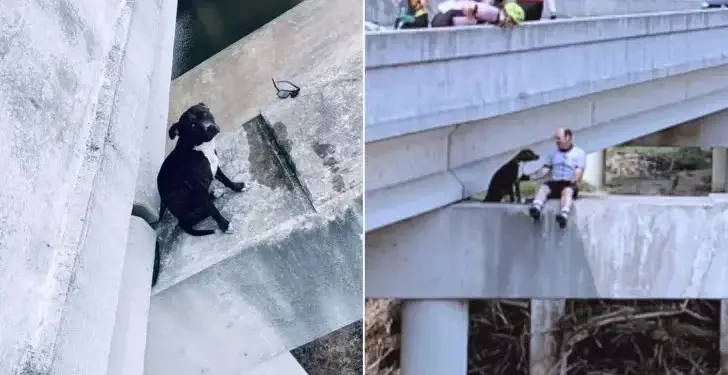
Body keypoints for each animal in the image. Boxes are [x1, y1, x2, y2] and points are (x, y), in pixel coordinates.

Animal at [155, 103, 246, 236]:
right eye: (193, 126)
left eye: (205, 113)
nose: (211, 128)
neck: (199, 148)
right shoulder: (199, 189)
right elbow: (213, 210)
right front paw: (225, 225)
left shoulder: (215, 167)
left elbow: (226, 180)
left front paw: (238, 187)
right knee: (202, 213)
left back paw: (215, 193)